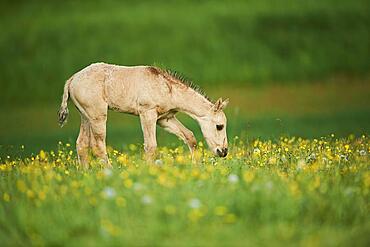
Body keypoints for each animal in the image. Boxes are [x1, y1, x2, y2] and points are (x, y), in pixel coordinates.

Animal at [58, 62, 228, 169]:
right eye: (219, 126)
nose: (224, 152)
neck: (167, 88)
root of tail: (71, 79)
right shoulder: (147, 113)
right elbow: (151, 146)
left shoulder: (165, 119)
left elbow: (189, 136)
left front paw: (196, 166)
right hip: (97, 115)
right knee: (98, 145)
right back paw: (110, 172)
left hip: (85, 116)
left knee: (81, 144)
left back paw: (86, 173)